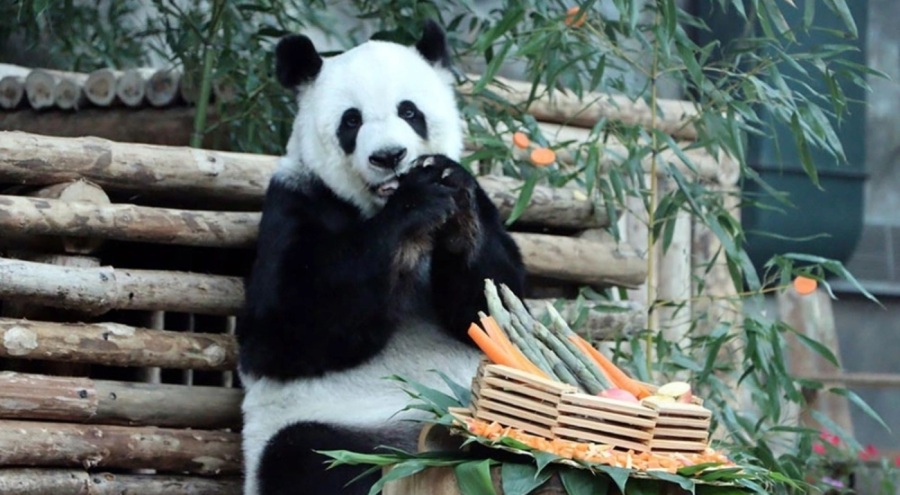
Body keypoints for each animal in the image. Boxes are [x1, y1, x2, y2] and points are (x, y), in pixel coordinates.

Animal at [236, 20, 527, 495]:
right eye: (351, 120)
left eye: (409, 111)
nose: (389, 156)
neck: (373, 206)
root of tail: (422, 450)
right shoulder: (293, 202)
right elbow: (281, 331)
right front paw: (416, 203)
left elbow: (493, 306)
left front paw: (450, 194)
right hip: (329, 427)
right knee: (305, 457)